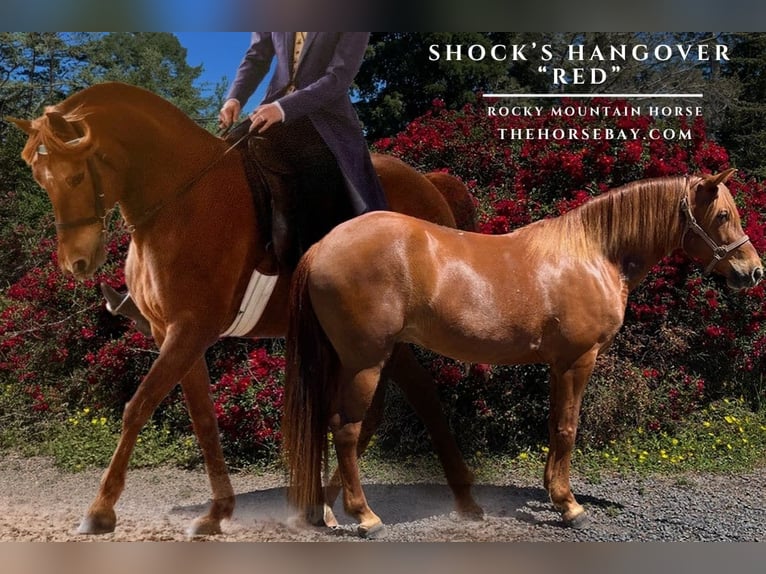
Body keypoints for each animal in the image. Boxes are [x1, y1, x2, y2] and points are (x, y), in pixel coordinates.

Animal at [7, 81, 483, 536]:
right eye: (40, 178)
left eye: (74, 177)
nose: (77, 263)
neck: (184, 199)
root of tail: (430, 183)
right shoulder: (174, 334)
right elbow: (203, 420)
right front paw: (217, 512)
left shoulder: (190, 330)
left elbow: (138, 407)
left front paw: (100, 511)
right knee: (390, 404)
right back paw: (329, 507)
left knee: (414, 398)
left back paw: (456, 503)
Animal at [283, 170, 763, 537]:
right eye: (722, 215)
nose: (753, 272)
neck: (593, 253)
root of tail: (322, 246)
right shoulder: (578, 360)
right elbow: (568, 429)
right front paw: (569, 506)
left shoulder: (557, 365)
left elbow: (554, 427)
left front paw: (554, 493)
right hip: (365, 363)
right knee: (346, 429)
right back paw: (365, 517)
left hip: (365, 362)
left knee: (340, 426)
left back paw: (326, 512)